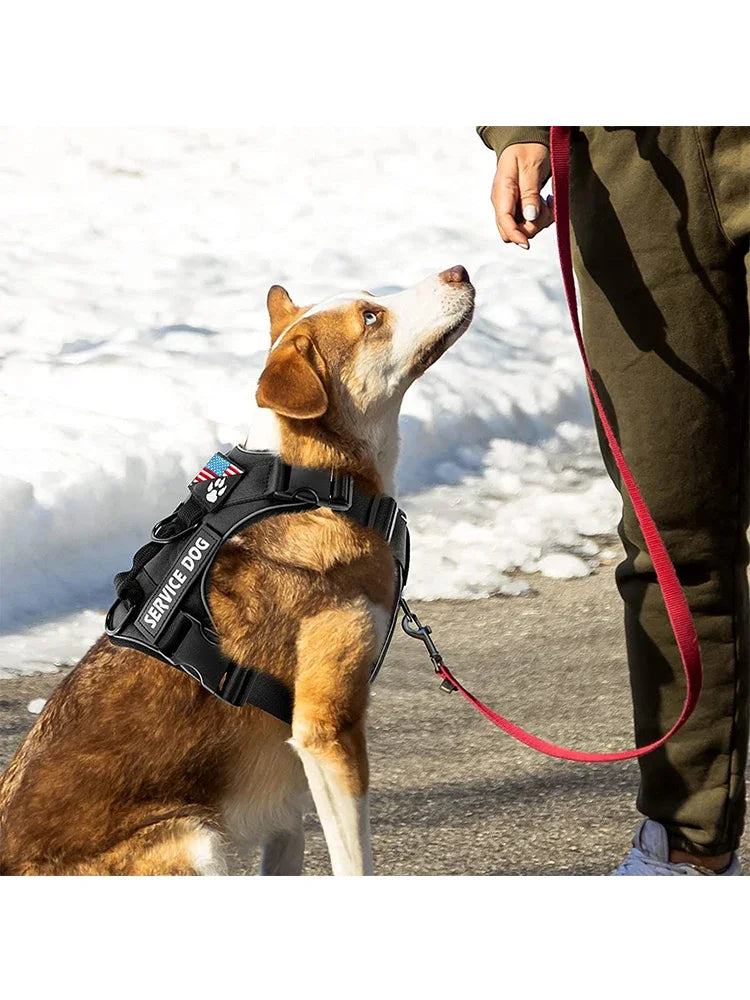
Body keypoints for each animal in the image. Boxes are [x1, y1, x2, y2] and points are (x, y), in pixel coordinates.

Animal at [0, 266, 476, 876]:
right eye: (371, 317)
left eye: (371, 297)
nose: (458, 270)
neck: (310, 485)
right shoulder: (327, 728)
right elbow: (355, 864)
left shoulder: (288, 806)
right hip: (196, 839)